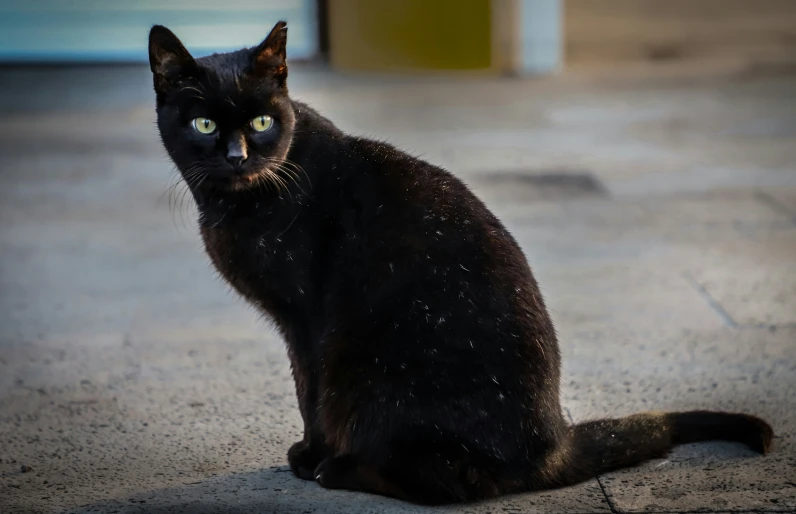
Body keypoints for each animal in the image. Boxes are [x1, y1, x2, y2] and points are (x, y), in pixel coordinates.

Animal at [148, 22, 772, 502]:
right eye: (205, 124)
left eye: (261, 123)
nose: (238, 156)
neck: (237, 200)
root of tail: (554, 442)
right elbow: (306, 392)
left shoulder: (306, 324)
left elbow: (310, 394)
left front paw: (310, 454)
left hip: (373, 375)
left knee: (457, 484)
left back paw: (340, 470)